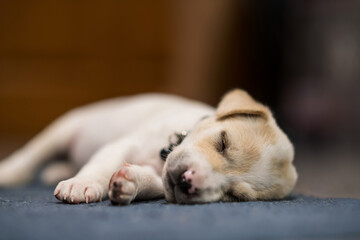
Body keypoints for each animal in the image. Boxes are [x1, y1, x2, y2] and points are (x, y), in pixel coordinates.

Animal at [0, 89, 296, 204]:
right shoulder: (122, 145)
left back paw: (57, 170)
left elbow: (147, 182)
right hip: (66, 128)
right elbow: (101, 166)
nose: (189, 180)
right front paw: (82, 184)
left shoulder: (159, 180)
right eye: (223, 143)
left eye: (235, 196)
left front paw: (128, 183)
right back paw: (10, 173)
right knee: (30, 157)